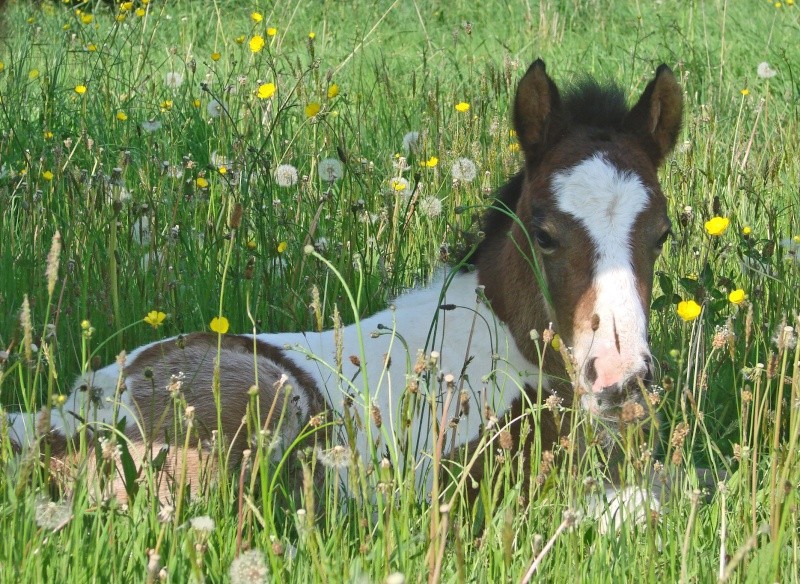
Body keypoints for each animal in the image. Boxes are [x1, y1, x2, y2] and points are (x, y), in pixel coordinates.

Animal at [4, 59, 680, 516]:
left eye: (662, 235)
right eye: (543, 234)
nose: (623, 384)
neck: (502, 343)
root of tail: (46, 429)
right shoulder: (477, 485)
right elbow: (651, 501)